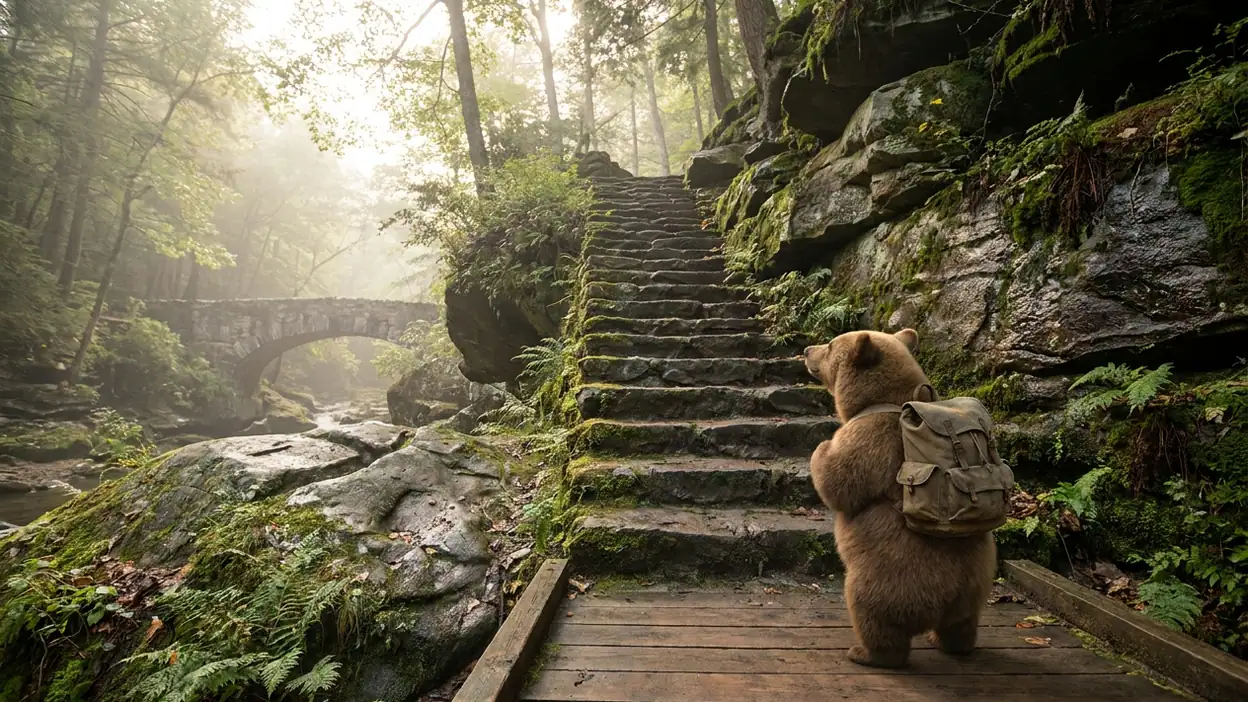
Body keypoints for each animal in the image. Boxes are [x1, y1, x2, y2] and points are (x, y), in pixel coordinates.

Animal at [804, 328, 997, 669]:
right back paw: (949, 642)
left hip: (887, 576)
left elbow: (840, 482)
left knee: (874, 616)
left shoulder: (868, 438)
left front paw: (822, 448)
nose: (805, 350)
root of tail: (946, 599)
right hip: (978, 580)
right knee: (962, 623)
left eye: (829, 345)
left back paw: (865, 653)